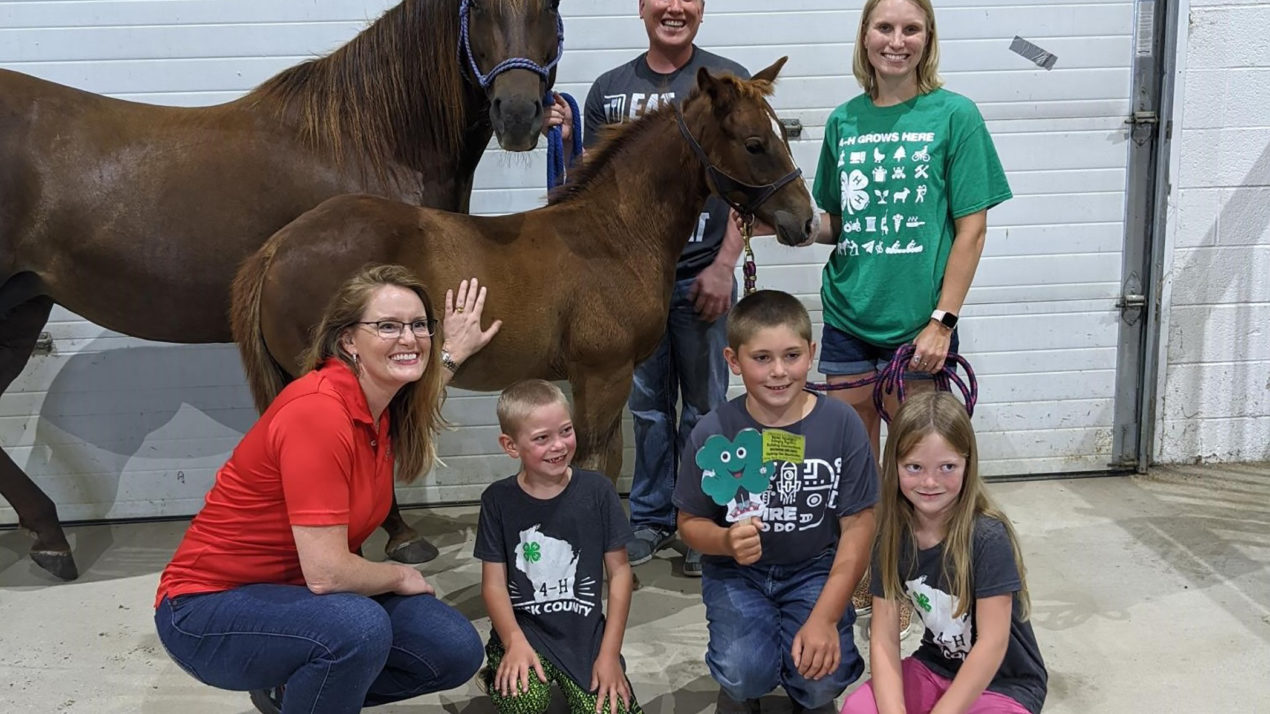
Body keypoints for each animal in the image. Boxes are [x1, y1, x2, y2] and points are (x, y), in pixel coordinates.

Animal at [1, 0, 561, 579]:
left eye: (550, 5)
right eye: (482, 9)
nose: (518, 114)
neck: (372, 144)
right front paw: (399, 533)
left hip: (21, 308)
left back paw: (50, 538)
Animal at [233, 60, 817, 482]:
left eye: (784, 134)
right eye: (755, 143)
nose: (807, 220)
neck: (614, 233)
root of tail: (278, 247)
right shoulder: (602, 374)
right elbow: (594, 466)